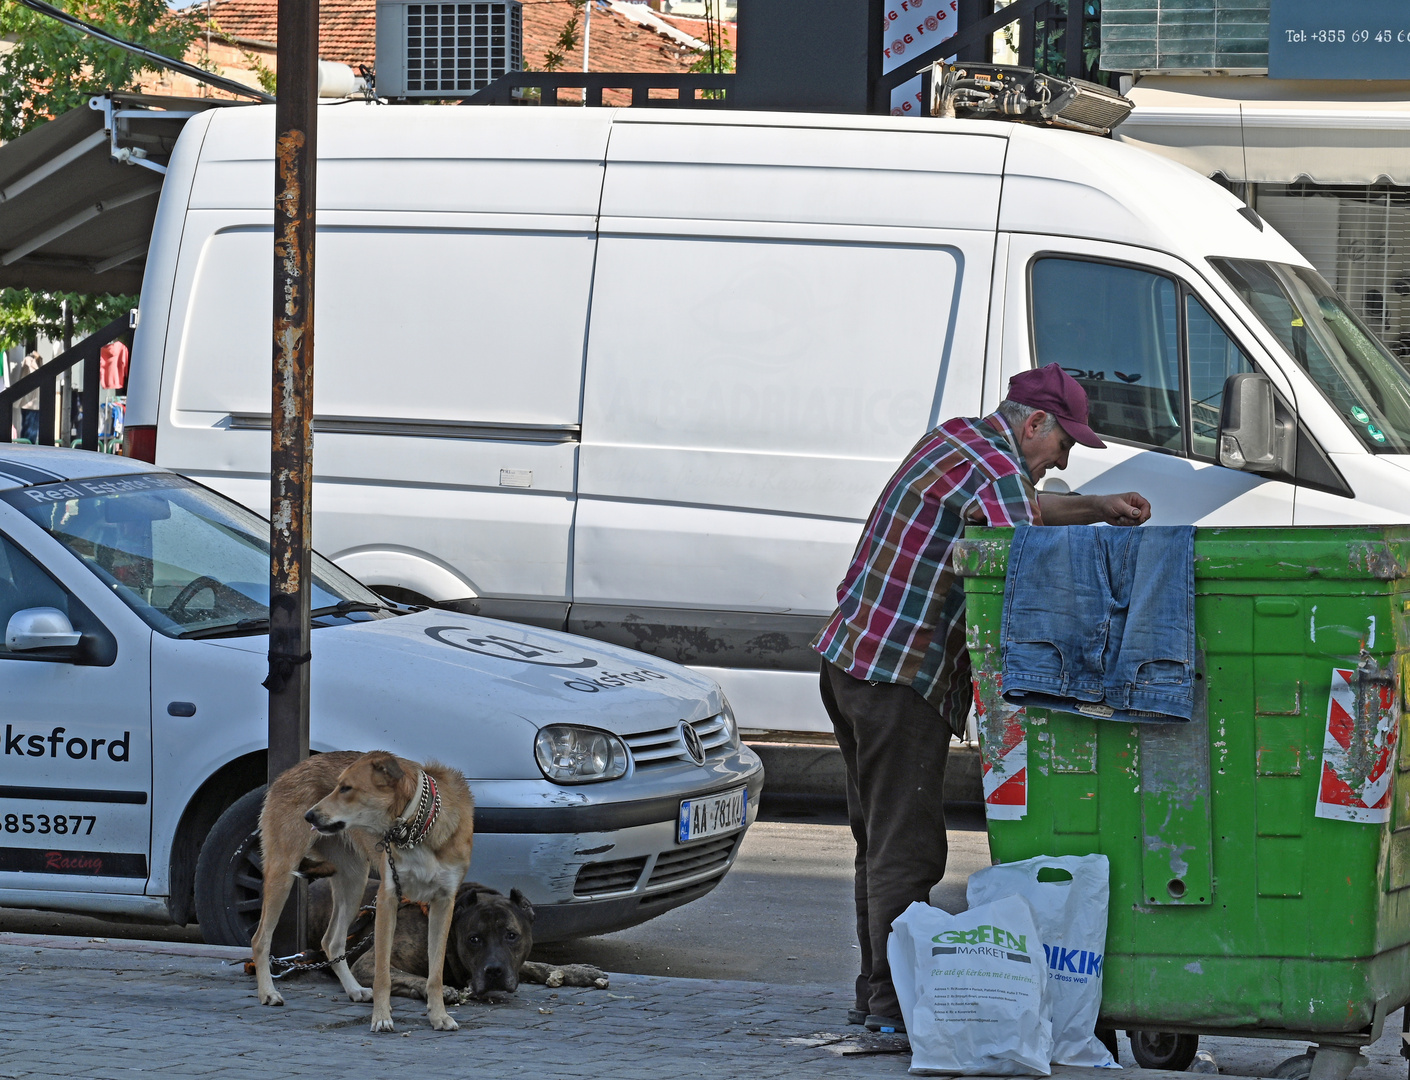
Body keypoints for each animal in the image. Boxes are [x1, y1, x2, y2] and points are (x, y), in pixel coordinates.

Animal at [248, 750, 473, 1037]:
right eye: (337, 786)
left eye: (346, 788)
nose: (309, 816)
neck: (417, 830)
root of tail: (289, 772)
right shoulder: (389, 899)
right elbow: (382, 975)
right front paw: (381, 1018)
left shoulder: (444, 904)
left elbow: (435, 974)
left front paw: (439, 1016)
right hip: (282, 873)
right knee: (260, 939)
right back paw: (268, 992)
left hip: (355, 883)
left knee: (331, 942)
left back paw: (354, 989)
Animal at [308, 874, 606, 1003]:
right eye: (474, 939)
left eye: (511, 936)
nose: (494, 971)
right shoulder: (368, 964)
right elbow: (405, 975)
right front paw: (437, 989)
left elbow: (536, 964)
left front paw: (577, 971)